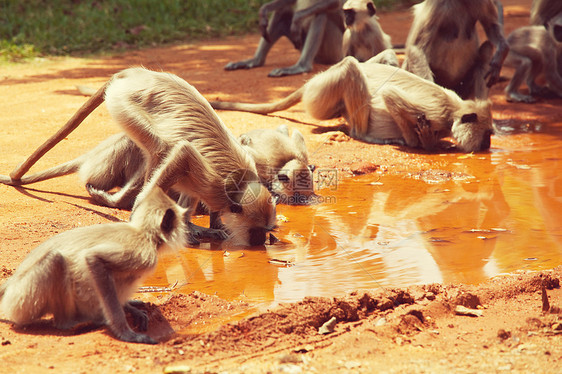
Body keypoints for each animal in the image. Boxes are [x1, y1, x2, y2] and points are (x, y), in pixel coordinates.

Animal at [0, 186, 187, 344]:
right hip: (22, 300)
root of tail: (13, 280)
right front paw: (125, 333)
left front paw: (129, 307)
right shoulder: (143, 253)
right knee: (56, 259)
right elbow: (94, 259)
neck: (143, 233)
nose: (187, 230)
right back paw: (68, 322)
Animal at [210, 53, 490, 153]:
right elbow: (390, 95)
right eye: (487, 134)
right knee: (351, 66)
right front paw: (422, 143)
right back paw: (364, 134)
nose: (487, 145)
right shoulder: (438, 113)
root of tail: (312, 81)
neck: (455, 110)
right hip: (320, 94)